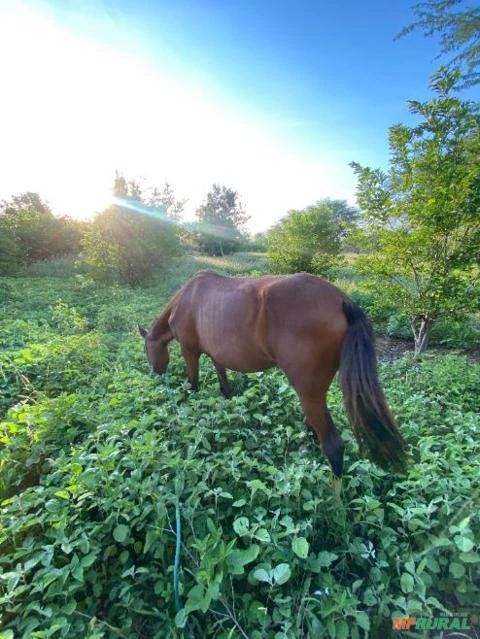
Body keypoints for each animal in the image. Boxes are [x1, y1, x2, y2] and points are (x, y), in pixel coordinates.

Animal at [141, 268, 406, 476]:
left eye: (146, 350)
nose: (157, 373)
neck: (186, 299)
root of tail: (342, 300)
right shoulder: (217, 355)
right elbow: (222, 378)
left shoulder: (189, 351)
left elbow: (193, 383)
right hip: (315, 393)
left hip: (308, 392)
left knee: (333, 447)